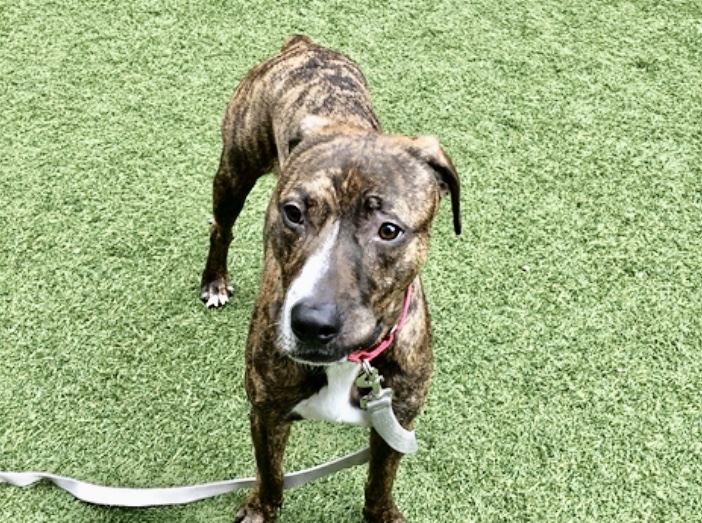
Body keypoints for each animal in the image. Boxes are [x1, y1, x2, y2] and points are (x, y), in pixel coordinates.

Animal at [200, 35, 461, 523]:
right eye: (293, 212)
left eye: (389, 230)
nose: (311, 323)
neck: (349, 364)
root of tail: (304, 45)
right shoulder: (265, 412)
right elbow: (270, 473)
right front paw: (261, 509)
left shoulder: (396, 422)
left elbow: (379, 482)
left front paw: (382, 514)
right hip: (234, 169)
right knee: (220, 227)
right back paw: (214, 281)